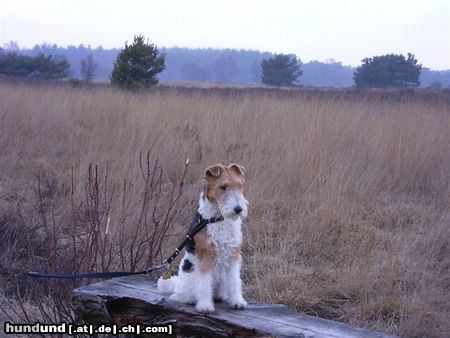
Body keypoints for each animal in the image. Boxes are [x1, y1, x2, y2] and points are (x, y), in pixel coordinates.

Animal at [158, 162, 250, 312]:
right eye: (223, 187)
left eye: (240, 185)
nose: (238, 209)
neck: (217, 219)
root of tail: (177, 283)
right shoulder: (206, 255)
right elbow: (204, 284)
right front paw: (205, 306)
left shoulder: (234, 255)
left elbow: (235, 281)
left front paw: (237, 302)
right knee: (179, 295)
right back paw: (189, 300)